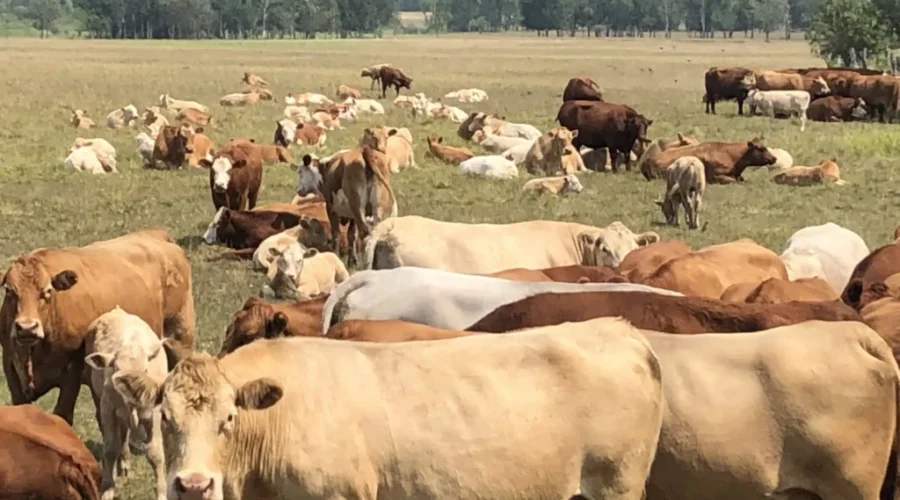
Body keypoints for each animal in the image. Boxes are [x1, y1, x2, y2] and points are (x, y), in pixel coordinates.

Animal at [0, 229, 195, 425]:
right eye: (9, 290)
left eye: (47, 291)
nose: (27, 328)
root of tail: (156, 234)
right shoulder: (11, 369)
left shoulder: (72, 372)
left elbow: (62, 414)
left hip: (180, 340)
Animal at [84, 307, 167, 500]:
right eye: (116, 369)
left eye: (145, 370)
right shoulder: (108, 409)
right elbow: (110, 449)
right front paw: (107, 489)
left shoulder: (154, 413)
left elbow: (155, 453)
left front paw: (161, 492)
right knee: (120, 438)